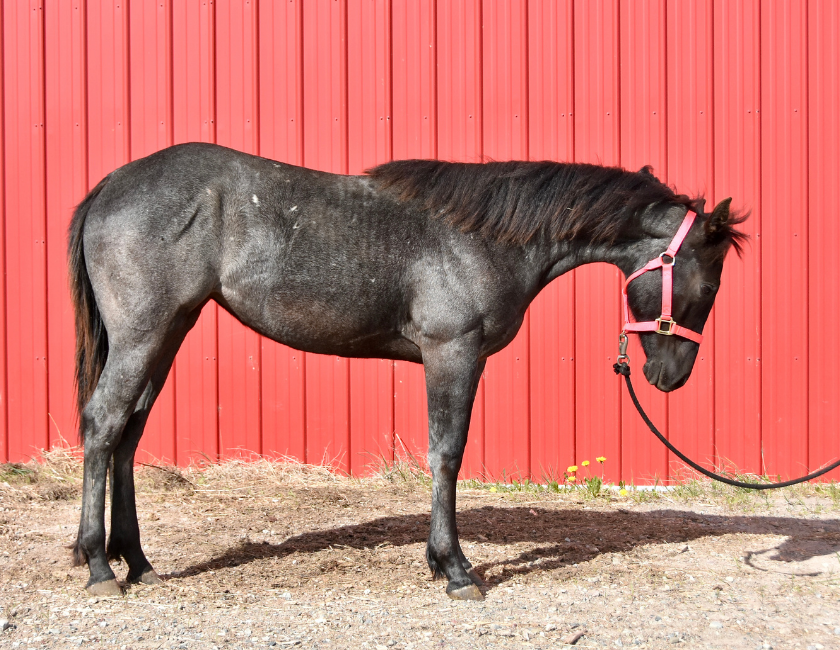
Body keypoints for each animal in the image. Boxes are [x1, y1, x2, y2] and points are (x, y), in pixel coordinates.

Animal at [68, 143, 746, 600]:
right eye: (710, 284)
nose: (671, 377)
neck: (486, 238)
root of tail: (111, 184)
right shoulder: (453, 352)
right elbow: (446, 453)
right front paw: (455, 568)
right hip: (143, 334)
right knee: (103, 424)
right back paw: (99, 565)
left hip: (167, 334)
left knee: (127, 434)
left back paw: (138, 561)